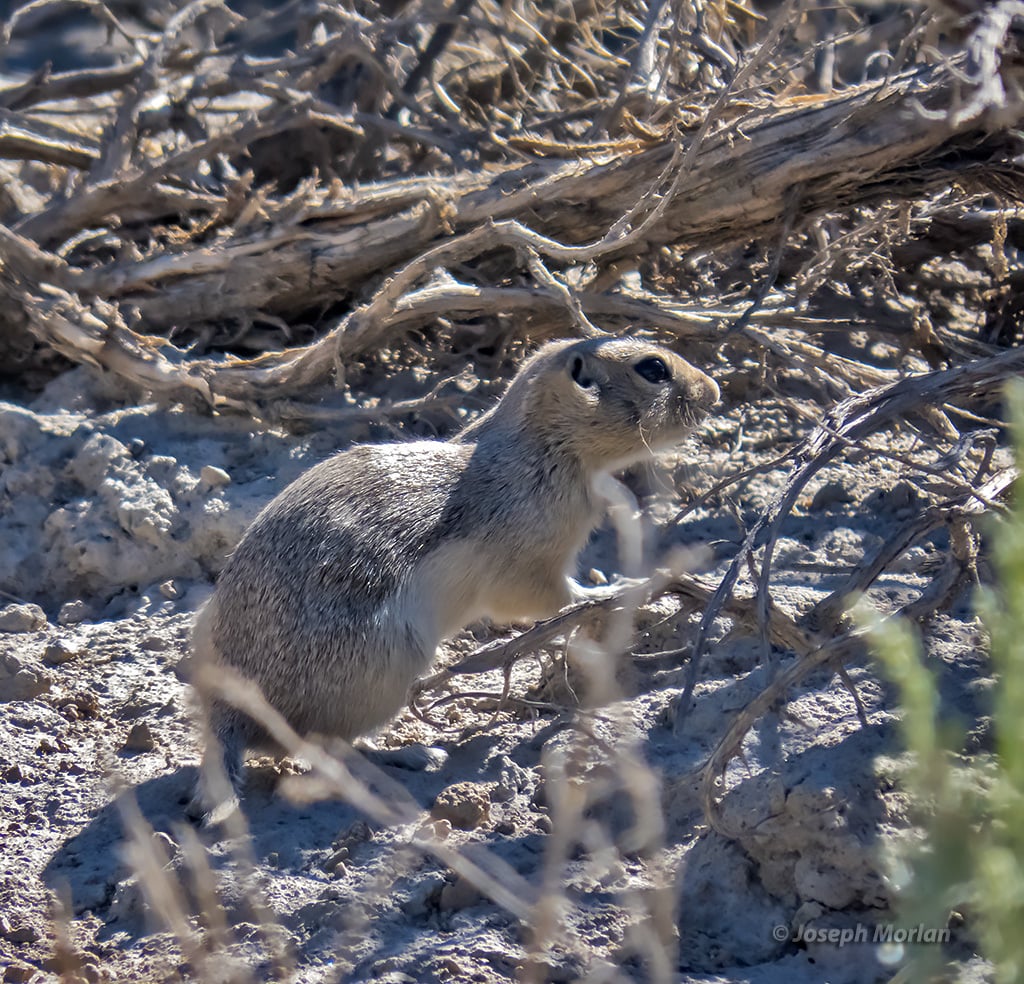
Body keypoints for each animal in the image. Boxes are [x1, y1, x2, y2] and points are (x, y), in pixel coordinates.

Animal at [189, 336, 719, 819]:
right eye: (653, 369)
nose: (713, 391)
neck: (542, 446)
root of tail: (229, 715)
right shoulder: (532, 560)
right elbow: (552, 598)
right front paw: (616, 589)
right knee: (321, 746)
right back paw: (410, 754)